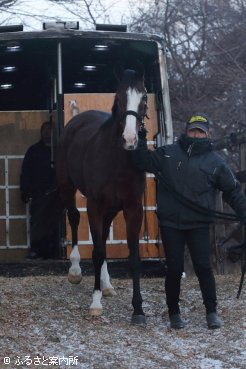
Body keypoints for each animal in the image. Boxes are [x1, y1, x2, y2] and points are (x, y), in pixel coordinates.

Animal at [55, 67, 147, 324]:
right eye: (119, 98)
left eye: (144, 98)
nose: (129, 140)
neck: (117, 160)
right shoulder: (95, 205)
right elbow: (96, 252)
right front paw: (95, 303)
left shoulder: (133, 209)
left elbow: (133, 258)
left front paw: (138, 309)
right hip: (67, 187)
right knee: (75, 218)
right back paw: (75, 270)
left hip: (111, 209)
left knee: (104, 236)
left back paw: (106, 284)